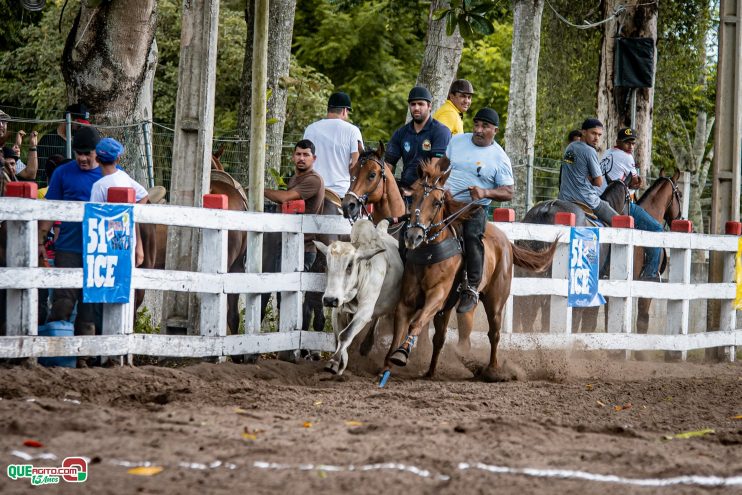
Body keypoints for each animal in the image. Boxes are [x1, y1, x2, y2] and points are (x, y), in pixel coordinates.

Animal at [316, 219, 404, 374]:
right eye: (327, 264)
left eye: (350, 265)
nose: (330, 299)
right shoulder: (337, 311)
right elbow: (339, 336)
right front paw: (340, 362)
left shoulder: (365, 311)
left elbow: (345, 334)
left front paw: (335, 361)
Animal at [386, 161, 560, 382]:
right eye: (414, 196)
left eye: (437, 202)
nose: (413, 236)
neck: (430, 253)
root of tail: (506, 241)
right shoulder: (407, 301)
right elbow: (399, 329)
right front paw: (387, 364)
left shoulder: (437, 296)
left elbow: (416, 323)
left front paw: (401, 354)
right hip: (450, 308)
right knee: (440, 338)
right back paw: (431, 371)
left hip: (495, 302)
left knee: (494, 334)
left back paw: (493, 370)